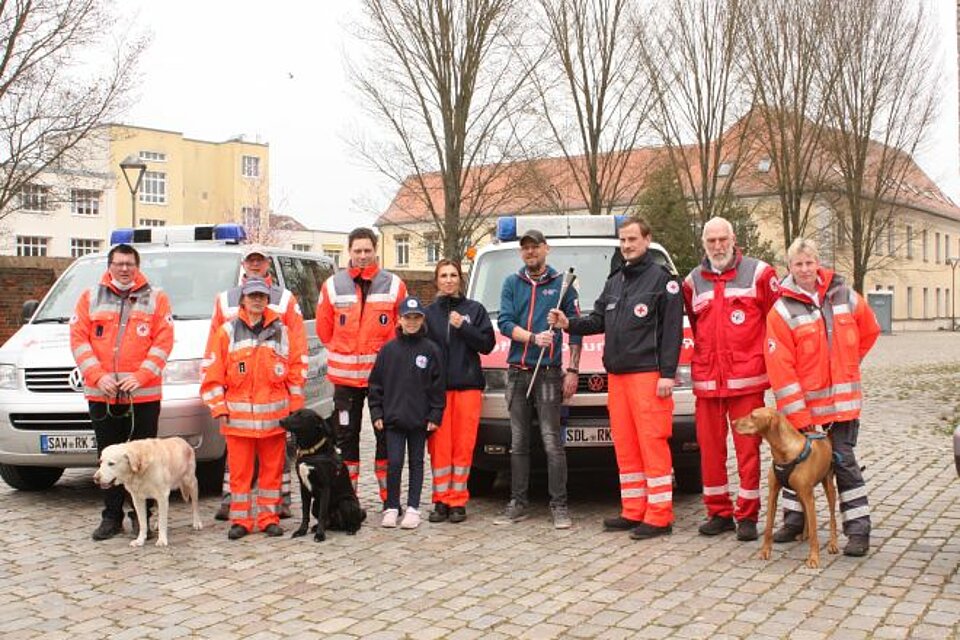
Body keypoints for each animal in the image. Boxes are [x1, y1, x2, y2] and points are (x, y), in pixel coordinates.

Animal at [282, 410, 368, 540]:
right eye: (293, 413)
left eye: (301, 415)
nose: (280, 420)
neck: (310, 452)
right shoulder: (303, 487)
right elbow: (305, 513)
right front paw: (302, 531)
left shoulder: (325, 488)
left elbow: (322, 514)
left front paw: (320, 535)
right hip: (315, 505)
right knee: (329, 521)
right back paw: (319, 527)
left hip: (346, 503)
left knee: (355, 523)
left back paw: (351, 529)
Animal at [732, 408, 836, 568]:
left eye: (753, 416)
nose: (732, 422)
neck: (783, 452)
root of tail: (823, 435)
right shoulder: (773, 493)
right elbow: (768, 526)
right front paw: (765, 552)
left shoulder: (809, 496)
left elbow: (815, 532)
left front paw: (813, 558)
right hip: (799, 494)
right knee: (806, 514)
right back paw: (804, 534)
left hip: (827, 486)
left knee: (832, 517)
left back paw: (833, 544)